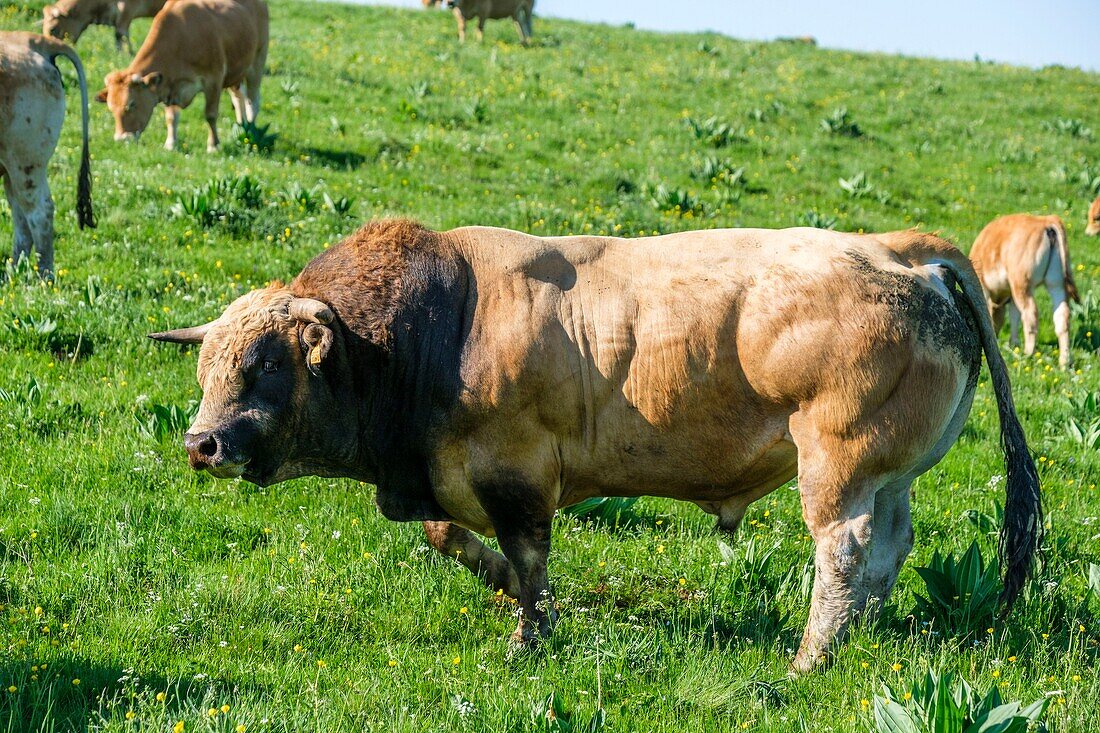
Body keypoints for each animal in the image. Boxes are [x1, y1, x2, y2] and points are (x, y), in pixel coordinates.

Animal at [0, 29, 94, 275]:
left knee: (39, 213)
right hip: (14, 167)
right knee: (21, 218)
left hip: (26, 161)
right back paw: (13, 275)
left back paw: (45, 276)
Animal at [95, 0, 269, 150]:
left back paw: (251, 128)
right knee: (238, 98)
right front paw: (170, 144)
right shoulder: (169, 84)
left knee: (253, 101)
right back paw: (241, 125)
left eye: (131, 104)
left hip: (257, 62)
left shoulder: (214, 79)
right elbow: (171, 117)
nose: (121, 139)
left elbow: (211, 115)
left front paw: (213, 145)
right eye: (111, 108)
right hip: (236, 72)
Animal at [972, 214, 1082, 367]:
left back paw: (1028, 354)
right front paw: (1013, 344)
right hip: (1056, 283)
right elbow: (1014, 315)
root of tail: (1046, 220)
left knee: (1030, 313)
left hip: (1022, 282)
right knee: (1062, 317)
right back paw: (1065, 362)